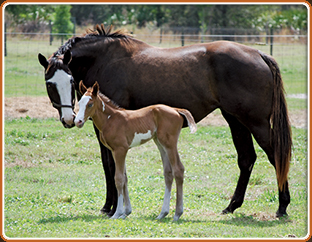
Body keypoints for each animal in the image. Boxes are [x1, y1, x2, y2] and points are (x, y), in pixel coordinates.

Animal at [74, 82, 196, 221]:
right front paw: (126, 212)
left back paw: (177, 214)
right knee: (168, 173)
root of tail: (176, 110)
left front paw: (117, 213)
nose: (78, 121)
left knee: (178, 170)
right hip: (160, 143)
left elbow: (119, 178)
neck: (110, 119)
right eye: (79, 103)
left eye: (90, 104)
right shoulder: (115, 151)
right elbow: (125, 178)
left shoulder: (120, 150)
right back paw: (162, 213)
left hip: (169, 143)